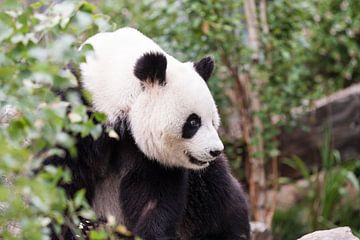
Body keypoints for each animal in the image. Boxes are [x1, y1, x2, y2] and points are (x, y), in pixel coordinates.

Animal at [47, 27, 250, 240]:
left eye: (213, 121)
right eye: (193, 122)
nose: (215, 151)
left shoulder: (152, 158)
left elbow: (154, 195)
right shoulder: (78, 111)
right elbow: (61, 175)